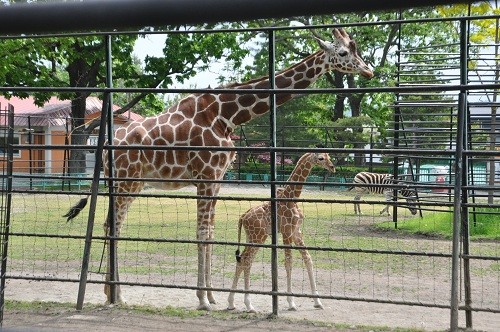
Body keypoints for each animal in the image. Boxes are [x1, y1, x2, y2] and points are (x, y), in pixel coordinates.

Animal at [229, 152, 334, 312]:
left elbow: (308, 259)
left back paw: (232, 303)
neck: (292, 197)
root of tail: (243, 217)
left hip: (252, 237)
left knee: (243, 260)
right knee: (246, 260)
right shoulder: (287, 232)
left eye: (329, 156)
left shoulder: (297, 233)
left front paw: (317, 301)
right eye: (321, 158)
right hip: (258, 237)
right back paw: (248, 304)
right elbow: (288, 263)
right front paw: (291, 303)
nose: (332, 167)